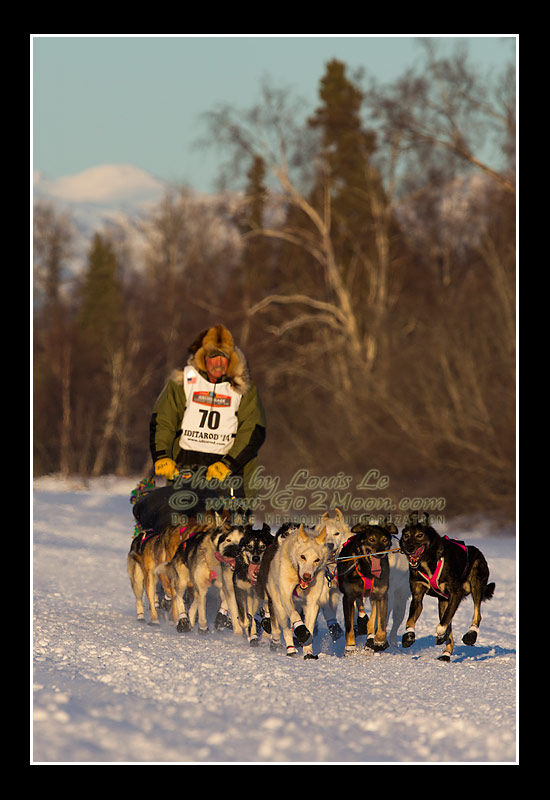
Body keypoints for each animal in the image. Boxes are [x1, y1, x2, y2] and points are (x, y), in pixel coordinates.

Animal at [336, 520, 396, 656]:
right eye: (371, 539)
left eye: (385, 540)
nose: (380, 553)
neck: (367, 570)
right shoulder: (348, 597)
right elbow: (349, 626)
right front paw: (350, 647)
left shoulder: (382, 595)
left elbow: (382, 622)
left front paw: (379, 641)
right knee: (360, 605)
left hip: (374, 597)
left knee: (373, 616)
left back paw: (370, 637)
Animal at [402, 512, 496, 664]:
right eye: (406, 535)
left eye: (420, 535)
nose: (409, 548)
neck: (428, 561)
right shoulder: (417, 597)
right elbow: (410, 619)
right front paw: (409, 635)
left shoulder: (456, 593)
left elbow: (443, 623)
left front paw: (440, 633)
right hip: (443, 602)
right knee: (449, 626)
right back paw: (446, 654)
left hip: (475, 584)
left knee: (477, 613)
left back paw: (470, 635)